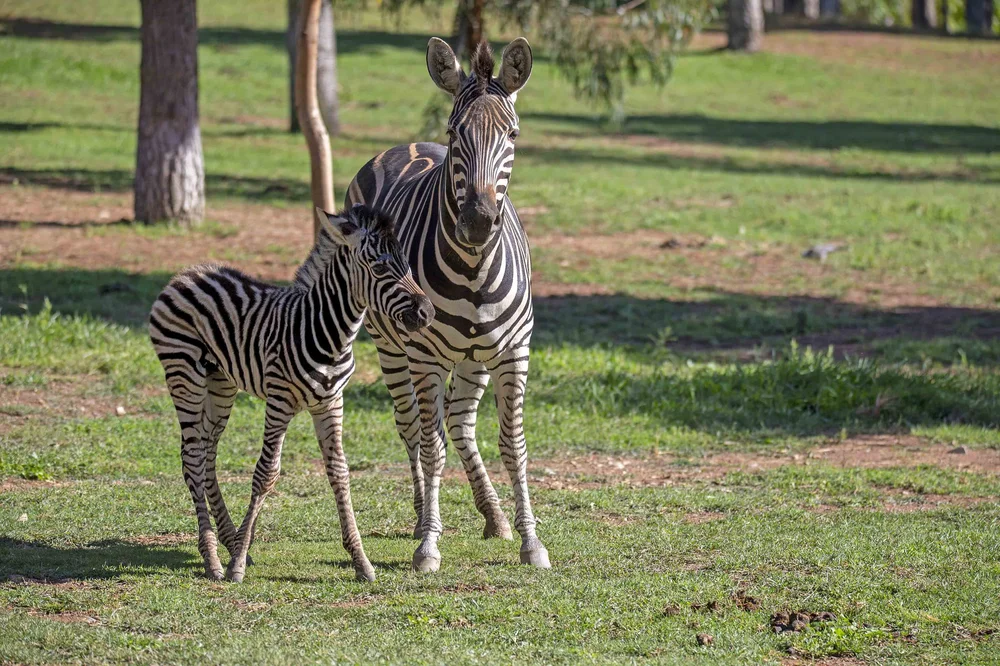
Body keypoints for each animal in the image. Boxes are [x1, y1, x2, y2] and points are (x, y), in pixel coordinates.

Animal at [149, 204, 434, 583]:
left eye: (408, 265)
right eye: (378, 268)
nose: (427, 312)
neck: (328, 332)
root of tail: (186, 273)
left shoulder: (332, 404)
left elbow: (340, 473)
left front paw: (361, 561)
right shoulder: (279, 402)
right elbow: (265, 474)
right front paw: (237, 566)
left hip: (220, 382)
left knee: (208, 452)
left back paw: (229, 539)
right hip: (184, 374)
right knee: (193, 457)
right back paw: (213, 558)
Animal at [345, 38, 549, 573]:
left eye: (513, 134)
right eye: (455, 134)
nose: (477, 221)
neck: (475, 269)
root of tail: (402, 146)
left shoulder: (513, 352)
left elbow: (514, 446)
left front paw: (531, 540)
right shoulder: (425, 356)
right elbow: (430, 447)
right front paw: (428, 546)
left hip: (474, 358)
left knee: (459, 423)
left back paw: (493, 516)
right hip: (392, 348)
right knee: (415, 429)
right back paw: (422, 518)